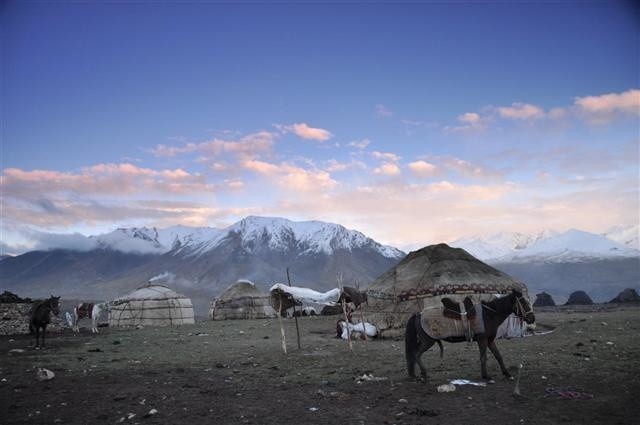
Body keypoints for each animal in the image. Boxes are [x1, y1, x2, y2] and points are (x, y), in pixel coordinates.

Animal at [404, 288, 536, 380]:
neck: (489, 314)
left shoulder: (490, 340)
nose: (532, 318)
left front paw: (507, 374)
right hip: (428, 341)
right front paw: (486, 376)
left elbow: (498, 356)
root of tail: (418, 314)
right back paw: (424, 373)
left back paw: (415, 374)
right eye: (524, 303)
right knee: (416, 354)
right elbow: (483, 357)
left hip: (424, 340)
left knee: (414, 353)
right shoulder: (482, 339)